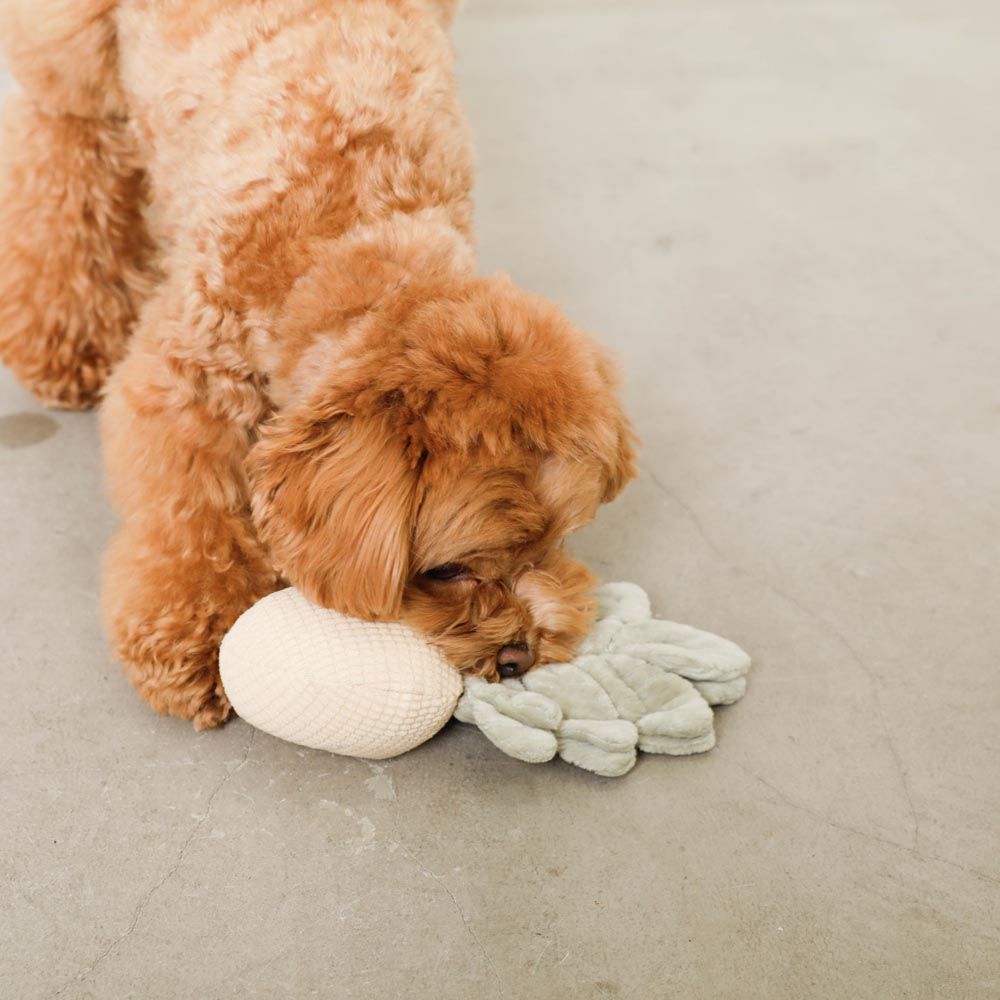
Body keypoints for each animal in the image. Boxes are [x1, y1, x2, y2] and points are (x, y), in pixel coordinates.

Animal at [0, 0, 636, 728]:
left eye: (552, 544)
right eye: (449, 570)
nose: (518, 657)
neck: (358, 228)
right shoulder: (190, 377)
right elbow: (190, 513)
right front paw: (197, 635)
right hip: (73, 52)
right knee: (63, 137)